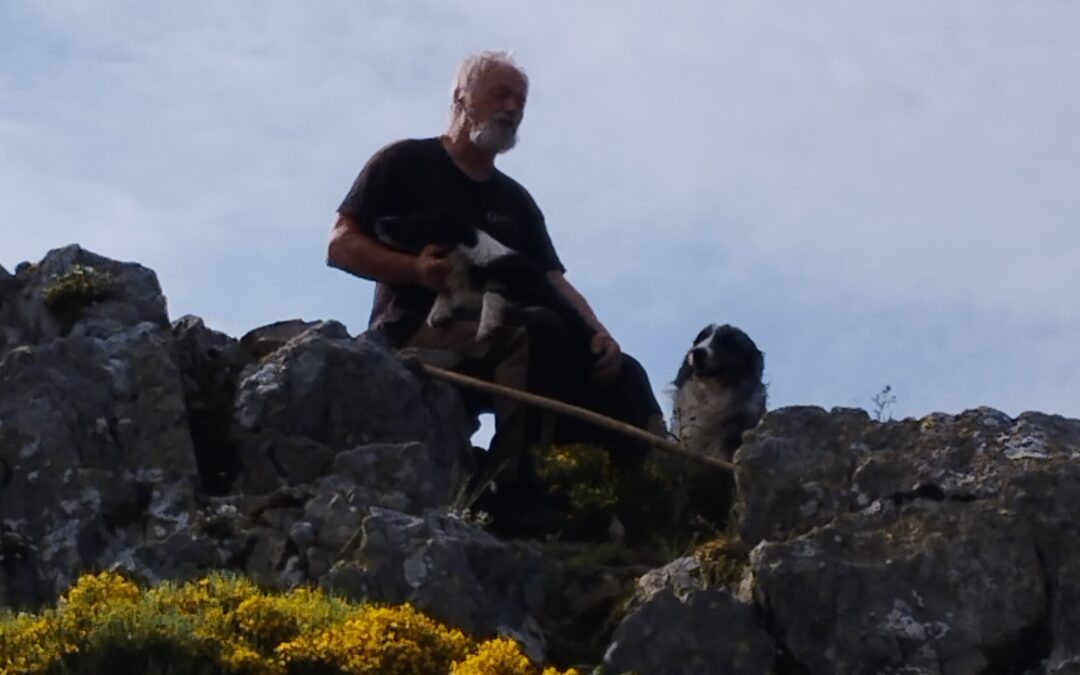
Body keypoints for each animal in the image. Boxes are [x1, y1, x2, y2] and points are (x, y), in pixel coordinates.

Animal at [375, 210, 587, 339]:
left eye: (413, 217)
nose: (378, 220)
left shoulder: (539, 292)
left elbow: (492, 291)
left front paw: (487, 324)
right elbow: (444, 292)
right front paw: (438, 312)